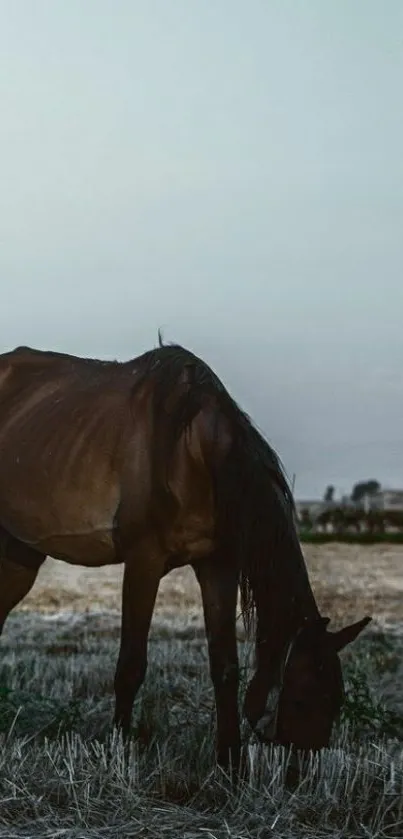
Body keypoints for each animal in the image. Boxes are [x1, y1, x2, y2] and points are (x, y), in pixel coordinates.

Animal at [0, 338, 372, 772]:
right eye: (298, 698)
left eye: (336, 700)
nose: (301, 771)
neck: (191, 450)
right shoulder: (143, 562)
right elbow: (131, 665)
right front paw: (119, 746)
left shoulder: (218, 565)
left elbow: (225, 665)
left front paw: (230, 761)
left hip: (20, 554)